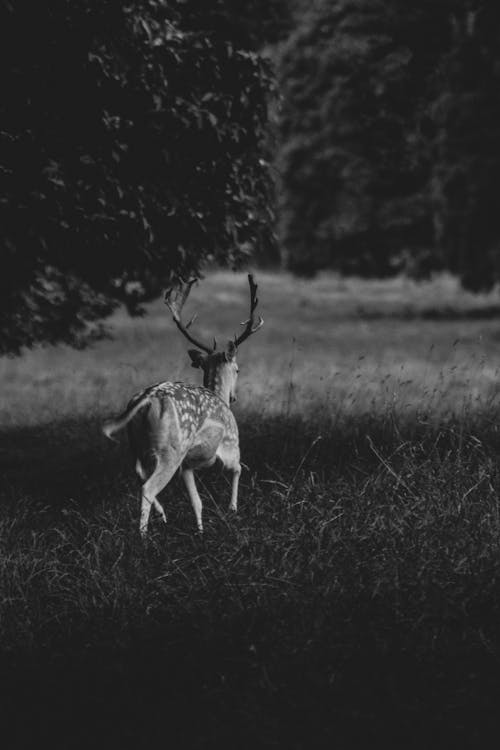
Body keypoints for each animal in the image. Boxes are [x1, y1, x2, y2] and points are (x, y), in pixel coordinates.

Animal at [103, 274, 264, 536]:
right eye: (239, 369)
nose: (233, 398)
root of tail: (146, 399)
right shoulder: (231, 444)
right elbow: (239, 468)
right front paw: (232, 509)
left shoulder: (187, 465)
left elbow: (196, 501)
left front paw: (200, 531)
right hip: (172, 449)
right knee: (148, 487)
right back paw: (143, 536)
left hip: (137, 444)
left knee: (139, 475)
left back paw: (162, 515)